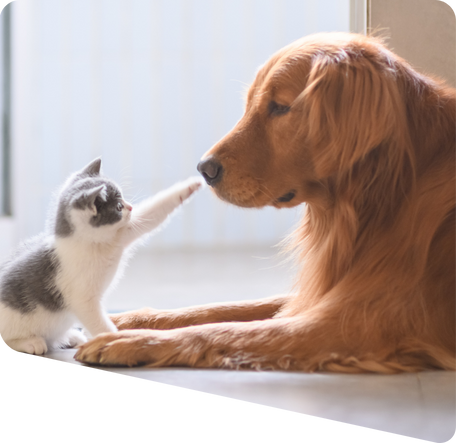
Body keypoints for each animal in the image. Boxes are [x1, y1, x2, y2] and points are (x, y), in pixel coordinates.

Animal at [0, 158, 203, 356]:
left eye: (123, 198)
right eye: (119, 206)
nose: (130, 207)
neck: (96, 244)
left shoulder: (123, 233)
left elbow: (152, 214)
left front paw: (190, 186)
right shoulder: (83, 300)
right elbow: (99, 322)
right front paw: (114, 340)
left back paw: (71, 336)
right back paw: (30, 342)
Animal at [74, 33, 456, 374]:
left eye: (281, 107)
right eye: (252, 104)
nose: (205, 170)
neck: (392, 190)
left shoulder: (351, 325)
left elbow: (220, 330)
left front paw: (129, 341)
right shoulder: (318, 293)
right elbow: (220, 309)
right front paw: (129, 319)